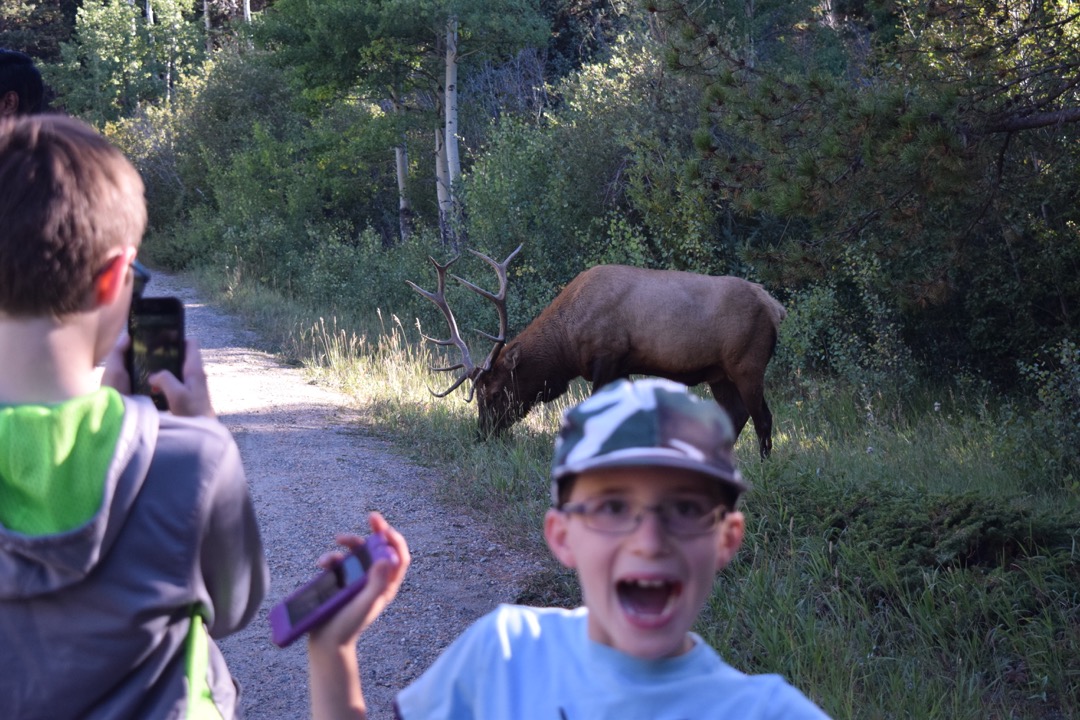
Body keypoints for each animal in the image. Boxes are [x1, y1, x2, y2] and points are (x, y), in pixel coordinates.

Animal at [407, 245, 786, 458]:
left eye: (496, 392)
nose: (481, 434)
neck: (567, 346)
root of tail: (776, 308)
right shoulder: (623, 367)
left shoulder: (607, 358)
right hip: (719, 374)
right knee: (736, 416)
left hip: (748, 365)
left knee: (763, 418)